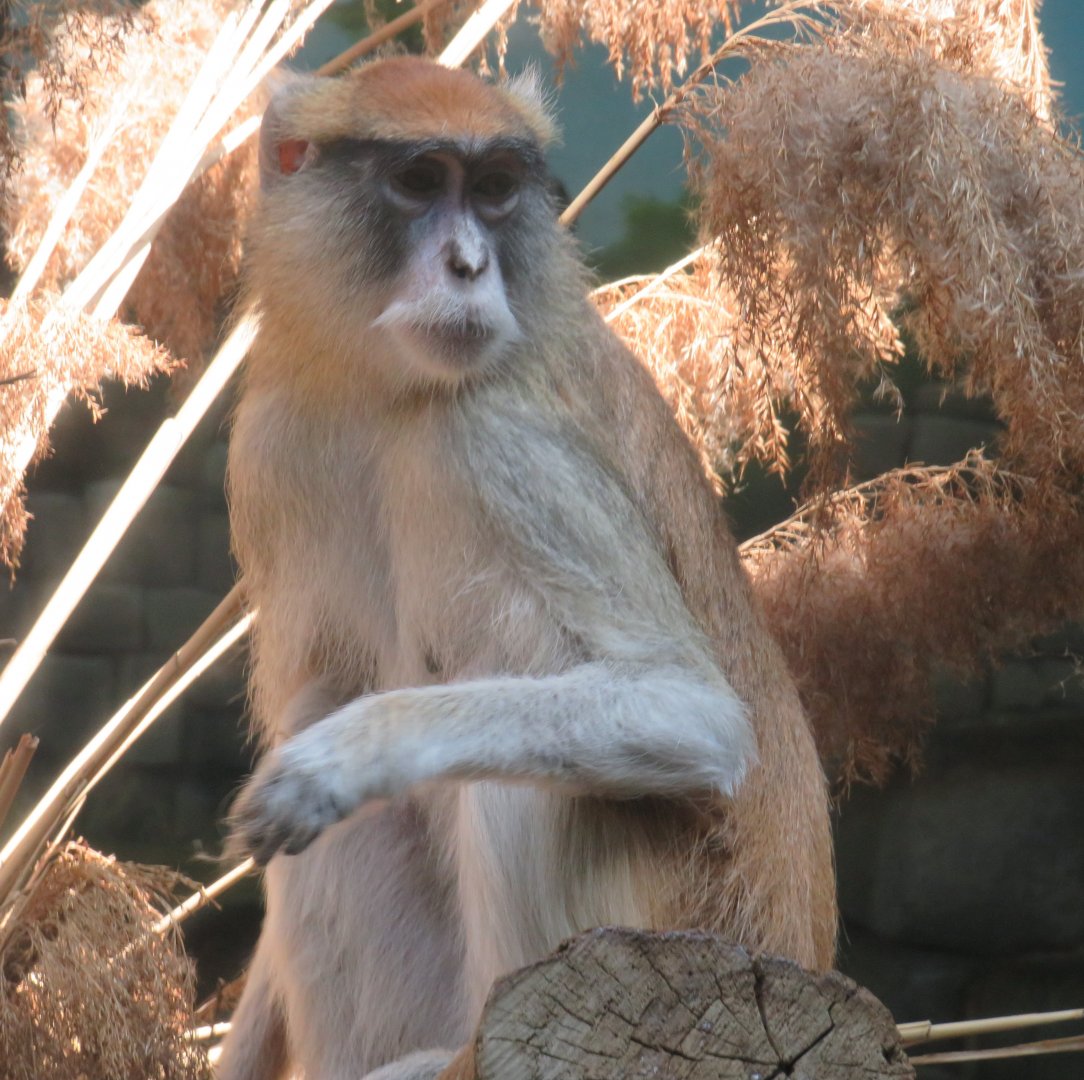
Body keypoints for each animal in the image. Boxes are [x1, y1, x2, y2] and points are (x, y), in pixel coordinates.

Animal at [217, 57, 836, 1080]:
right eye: (421, 180)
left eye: (497, 188)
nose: (470, 266)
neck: (391, 394)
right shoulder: (272, 449)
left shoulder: (499, 437)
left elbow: (689, 710)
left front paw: (354, 753)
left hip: (673, 918)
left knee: (527, 772)